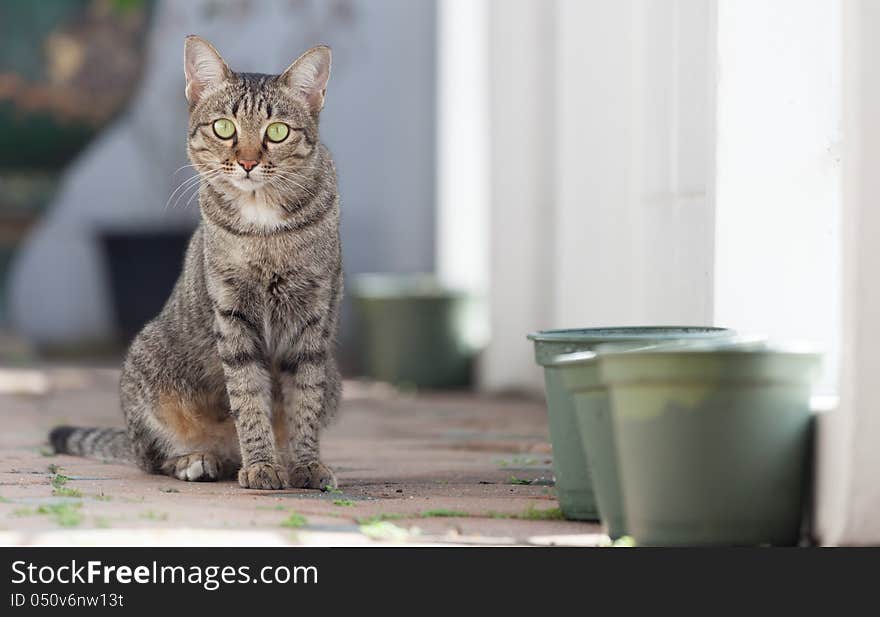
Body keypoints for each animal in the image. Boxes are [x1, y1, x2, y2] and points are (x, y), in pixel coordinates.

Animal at [47, 36, 344, 490]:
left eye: (277, 132)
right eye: (224, 128)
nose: (248, 162)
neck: (265, 228)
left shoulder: (313, 319)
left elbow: (304, 402)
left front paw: (305, 463)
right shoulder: (233, 315)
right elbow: (247, 397)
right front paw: (261, 465)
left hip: (335, 377)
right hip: (148, 365)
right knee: (152, 457)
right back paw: (198, 459)